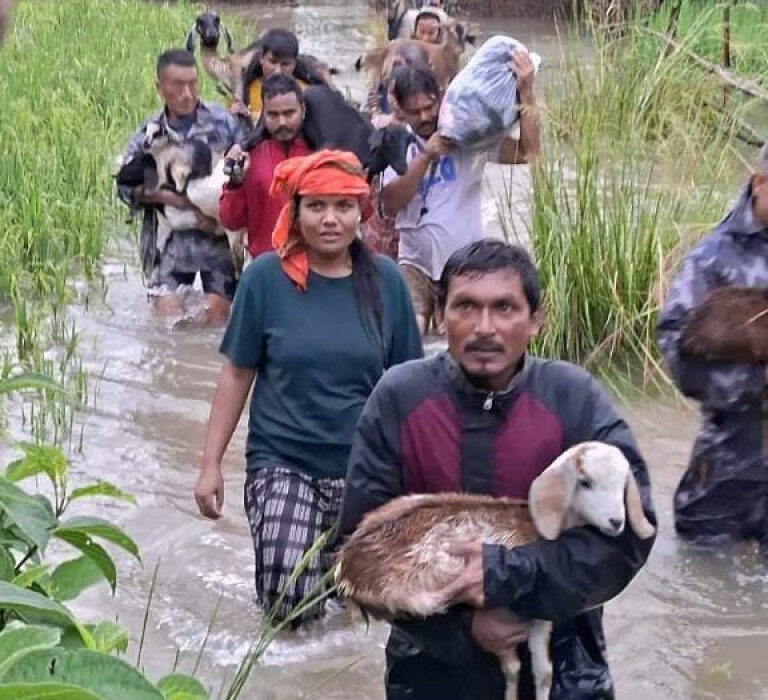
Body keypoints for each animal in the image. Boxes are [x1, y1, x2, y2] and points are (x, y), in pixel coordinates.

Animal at [336, 440, 656, 700]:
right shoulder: (535, 615)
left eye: (624, 483)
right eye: (585, 482)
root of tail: (347, 566)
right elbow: (541, 671)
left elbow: (520, 667)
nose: (616, 522)